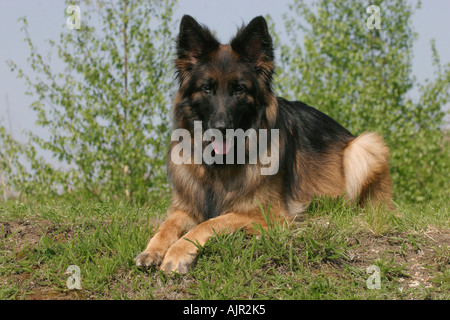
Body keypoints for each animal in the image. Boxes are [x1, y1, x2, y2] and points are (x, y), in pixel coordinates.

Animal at [135, 16, 392, 274]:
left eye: (239, 88)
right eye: (207, 88)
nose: (220, 127)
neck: (220, 164)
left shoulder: (264, 214)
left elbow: (210, 223)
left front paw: (177, 253)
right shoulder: (185, 208)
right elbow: (167, 225)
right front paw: (152, 250)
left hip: (365, 146)